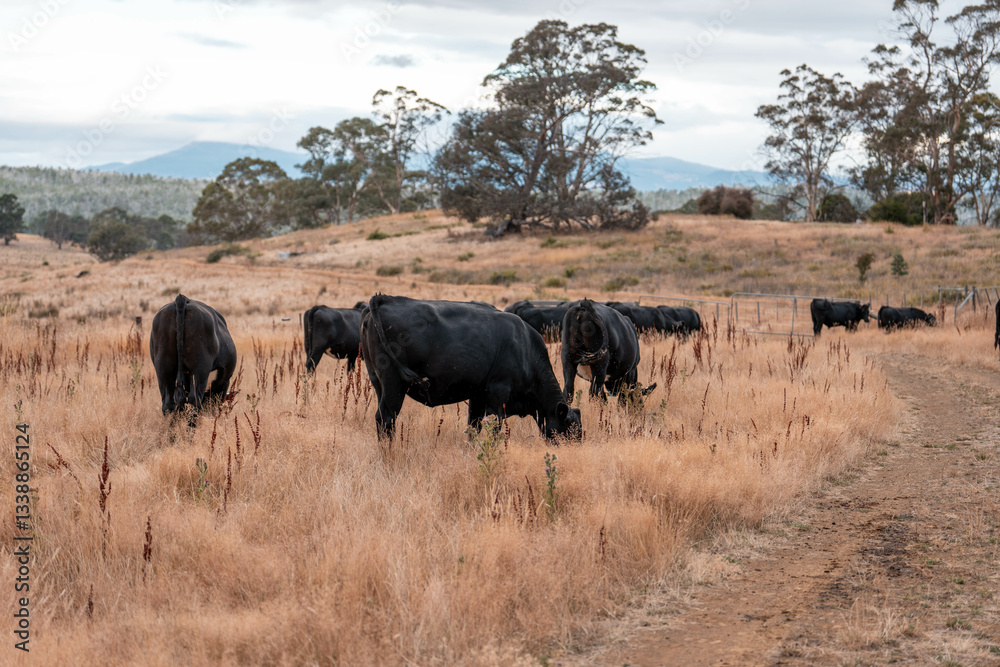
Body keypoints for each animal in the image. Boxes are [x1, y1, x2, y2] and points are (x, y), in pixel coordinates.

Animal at [150, 294, 237, 423]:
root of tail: (183, 299)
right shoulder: (222, 384)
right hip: (199, 370)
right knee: (193, 402)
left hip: (164, 369)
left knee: (168, 403)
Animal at [361, 295, 581, 441]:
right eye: (569, 430)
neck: (524, 346)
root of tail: (383, 299)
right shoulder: (499, 392)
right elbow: (495, 429)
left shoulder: (477, 395)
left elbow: (473, 428)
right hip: (394, 385)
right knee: (386, 418)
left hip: (378, 382)